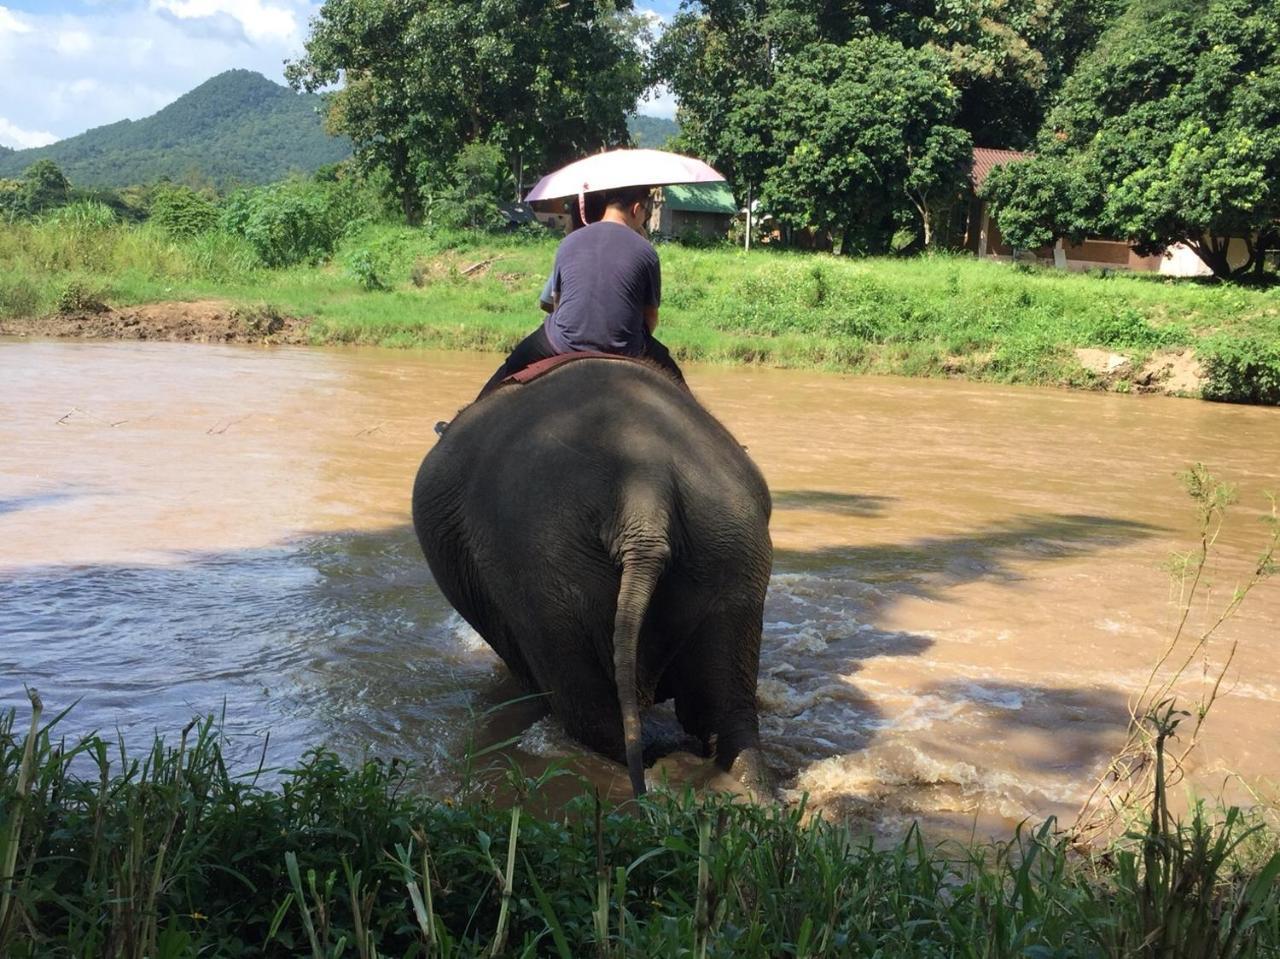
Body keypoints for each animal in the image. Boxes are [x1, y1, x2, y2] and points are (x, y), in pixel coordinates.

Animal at [409, 355, 768, 798]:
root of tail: (644, 491)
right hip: (731, 543)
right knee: (725, 712)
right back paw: (748, 789)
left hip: (544, 569)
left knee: (593, 719)